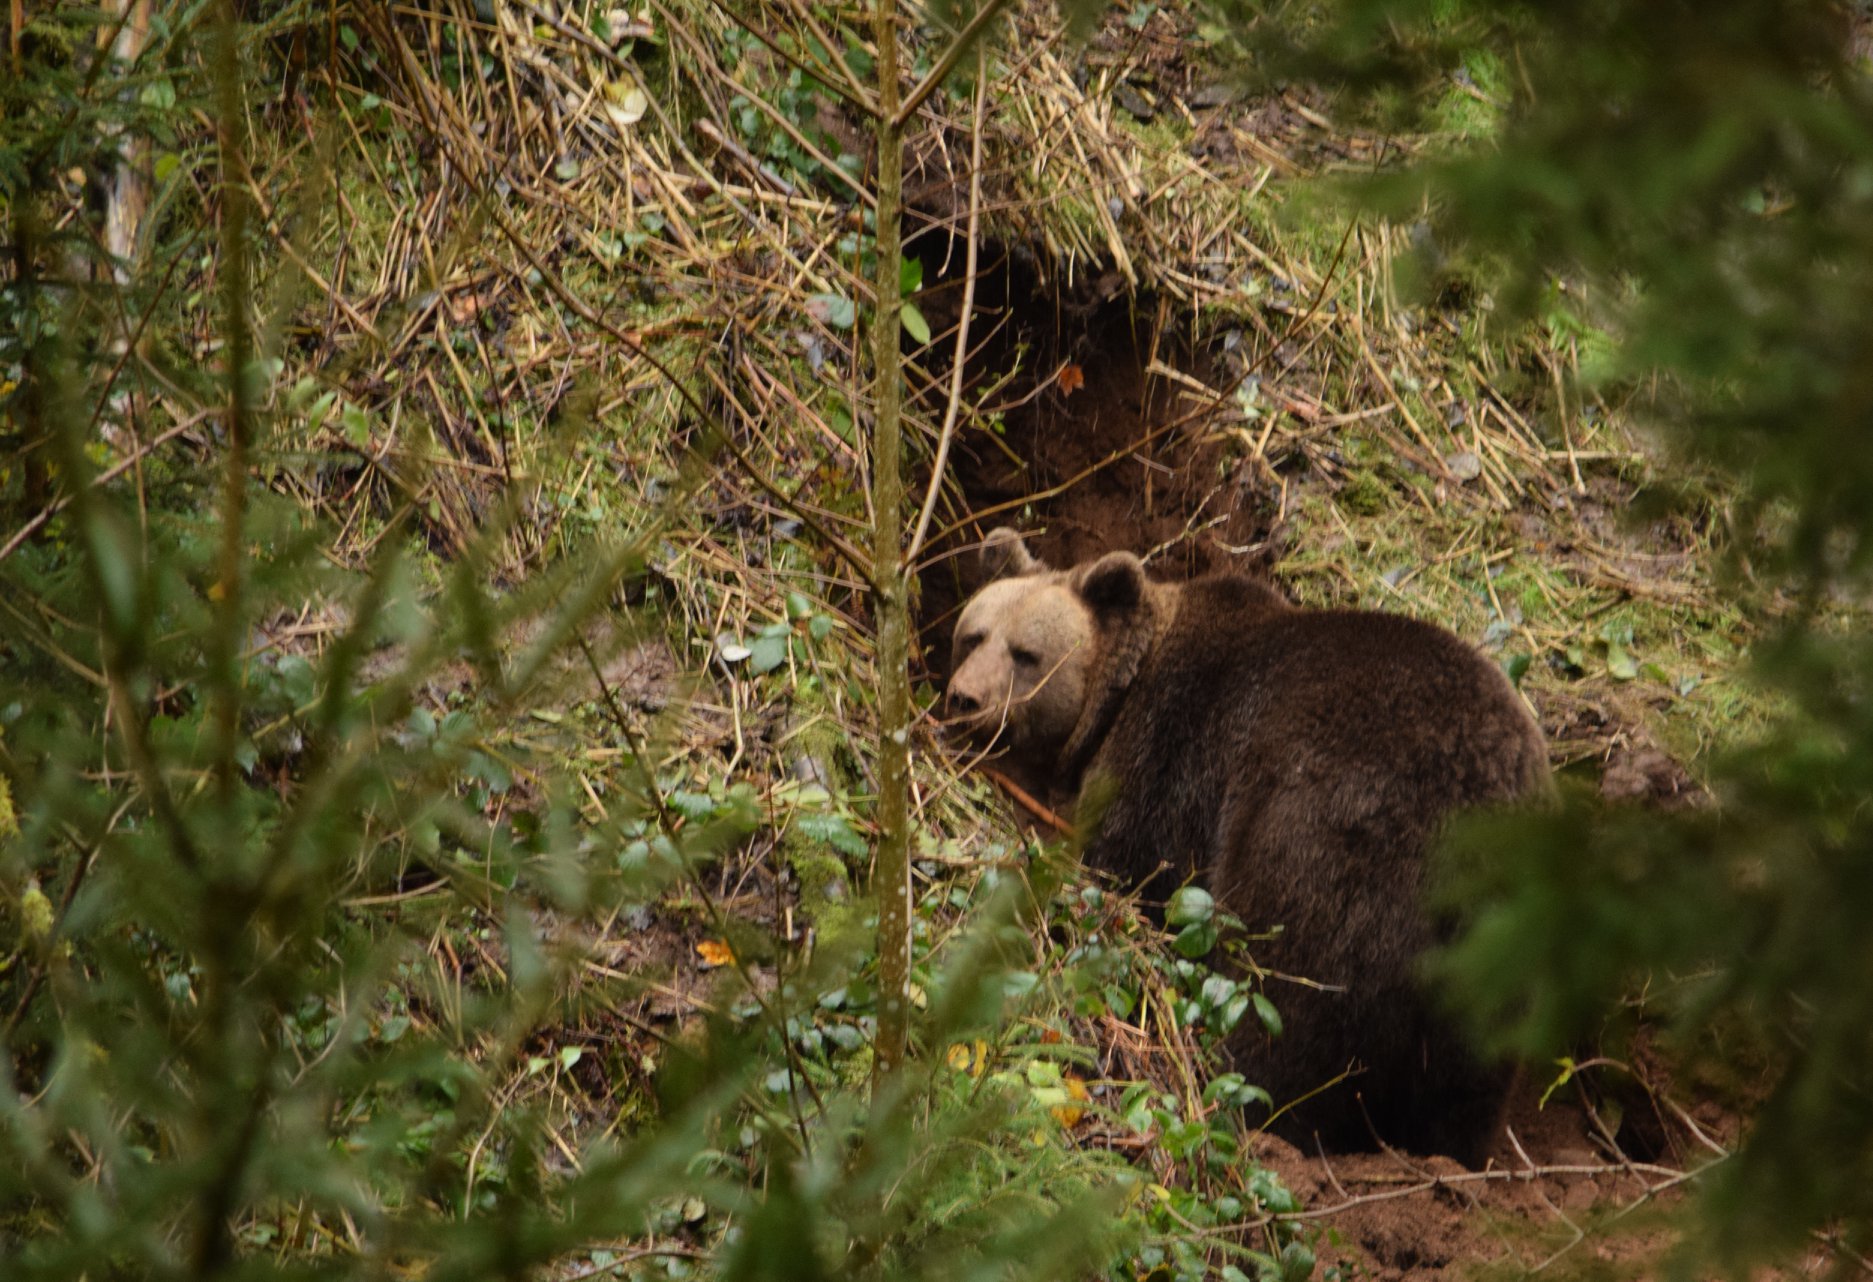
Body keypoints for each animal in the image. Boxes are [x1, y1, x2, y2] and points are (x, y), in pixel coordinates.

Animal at [944, 528, 1550, 1164]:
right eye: (973, 635)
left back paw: (1253, 1105)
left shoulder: (1168, 758)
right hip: (1508, 927)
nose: (966, 699)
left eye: (1026, 653)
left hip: (1322, 837)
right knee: (1470, 1067)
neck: (1113, 700)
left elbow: (1130, 865)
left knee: (1286, 991)